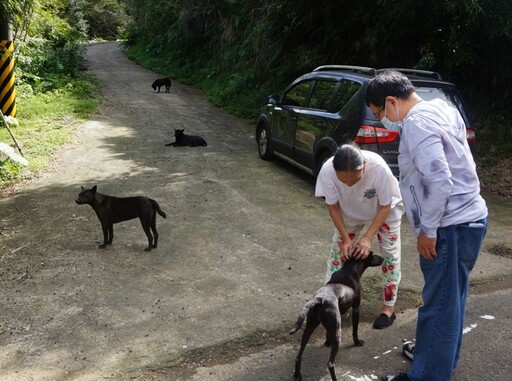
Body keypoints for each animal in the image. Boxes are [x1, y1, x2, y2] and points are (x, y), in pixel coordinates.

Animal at [290, 252, 382, 380]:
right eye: (372, 254)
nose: (383, 258)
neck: (349, 268)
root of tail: (320, 299)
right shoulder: (356, 310)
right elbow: (355, 331)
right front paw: (357, 342)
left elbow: (328, 333)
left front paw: (327, 342)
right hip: (337, 332)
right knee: (330, 363)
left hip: (309, 327)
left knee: (299, 355)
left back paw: (297, 375)